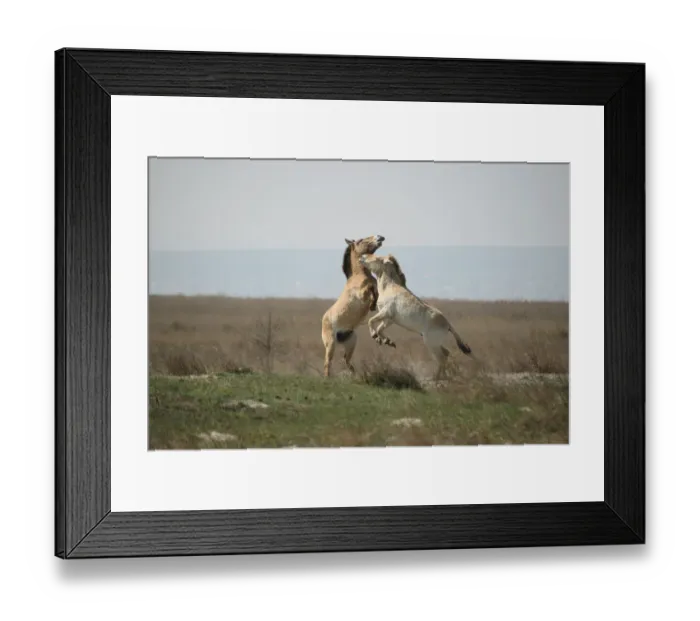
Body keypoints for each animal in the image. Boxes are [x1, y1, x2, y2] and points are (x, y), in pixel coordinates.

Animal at [321, 235, 385, 377]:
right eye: (361, 240)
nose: (380, 237)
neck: (359, 275)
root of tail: (324, 319)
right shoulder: (362, 294)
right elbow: (371, 290)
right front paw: (372, 304)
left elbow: (376, 292)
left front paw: (374, 306)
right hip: (331, 344)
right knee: (327, 363)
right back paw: (328, 378)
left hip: (351, 342)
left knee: (346, 360)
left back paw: (355, 375)